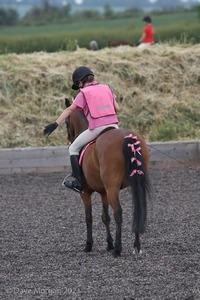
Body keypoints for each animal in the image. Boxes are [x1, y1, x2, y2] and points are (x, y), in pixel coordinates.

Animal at [64, 99, 150, 258]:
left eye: (67, 121)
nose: (69, 139)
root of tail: (128, 137)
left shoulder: (85, 192)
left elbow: (89, 218)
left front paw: (89, 245)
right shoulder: (103, 192)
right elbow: (105, 217)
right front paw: (108, 244)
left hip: (112, 188)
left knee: (118, 213)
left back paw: (118, 249)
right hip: (133, 184)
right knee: (137, 209)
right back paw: (136, 246)